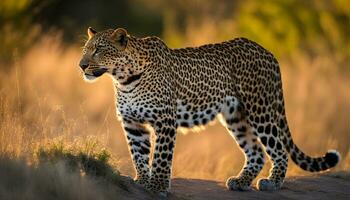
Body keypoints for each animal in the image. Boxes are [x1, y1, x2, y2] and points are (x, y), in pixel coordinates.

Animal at [78, 26, 340, 195]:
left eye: (98, 49)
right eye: (85, 50)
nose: (81, 65)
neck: (124, 80)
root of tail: (268, 52)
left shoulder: (164, 120)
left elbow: (161, 156)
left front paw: (158, 186)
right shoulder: (132, 123)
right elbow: (138, 154)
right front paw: (142, 181)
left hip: (261, 109)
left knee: (278, 149)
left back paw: (272, 183)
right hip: (237, 117)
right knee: (256, 151)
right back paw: (241, 181)